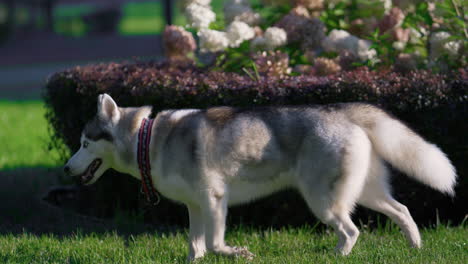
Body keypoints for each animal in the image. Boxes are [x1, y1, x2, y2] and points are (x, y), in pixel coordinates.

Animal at [64, 94, 456, 260]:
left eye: (84, 143)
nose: (66, 168)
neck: (149, 140)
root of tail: (342, 110)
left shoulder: (215, 200)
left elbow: (215, 243)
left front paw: (236, 252)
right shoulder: (195, 206)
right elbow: (196, 245)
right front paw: (197, 259)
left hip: (323, 201)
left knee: (351, 230)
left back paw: (337, 255)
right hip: (365, 192)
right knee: (402, 210)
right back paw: (415, 247)